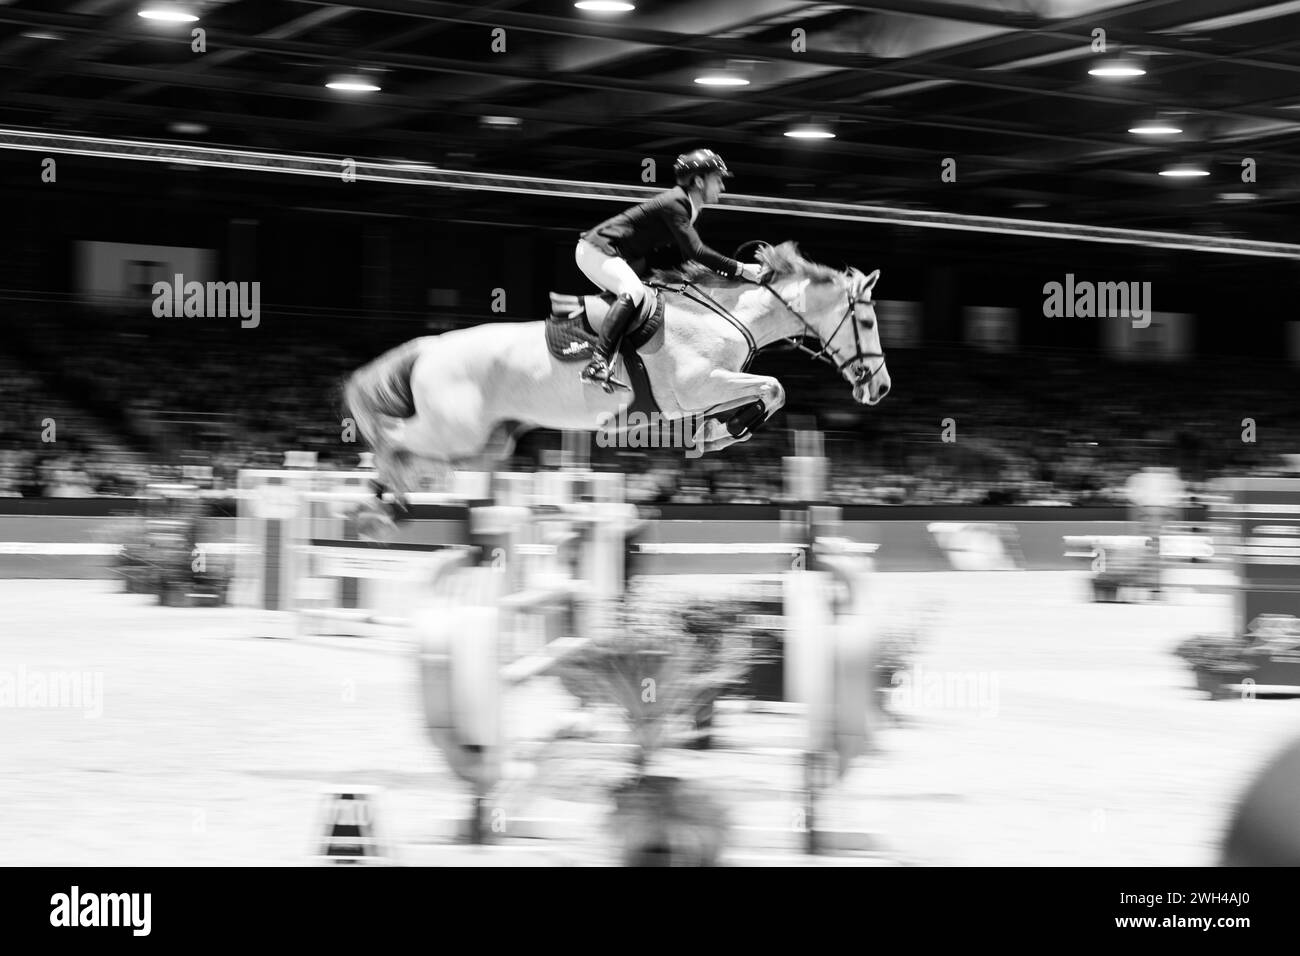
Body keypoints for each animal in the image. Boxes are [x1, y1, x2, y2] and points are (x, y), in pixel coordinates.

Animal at [340, 240, 889, 538]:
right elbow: (773, 389)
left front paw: (715, 433)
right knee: (391, 439)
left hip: (482, 444)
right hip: (453, 432)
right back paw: (373, 508)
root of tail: (430, 348)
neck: (724, 315)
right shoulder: (694, 389)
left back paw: (387, 505)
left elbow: (760, 398)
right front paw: (718, 434)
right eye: (865, 320)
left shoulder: (704, 392)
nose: (881, 388)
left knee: (413, 459)